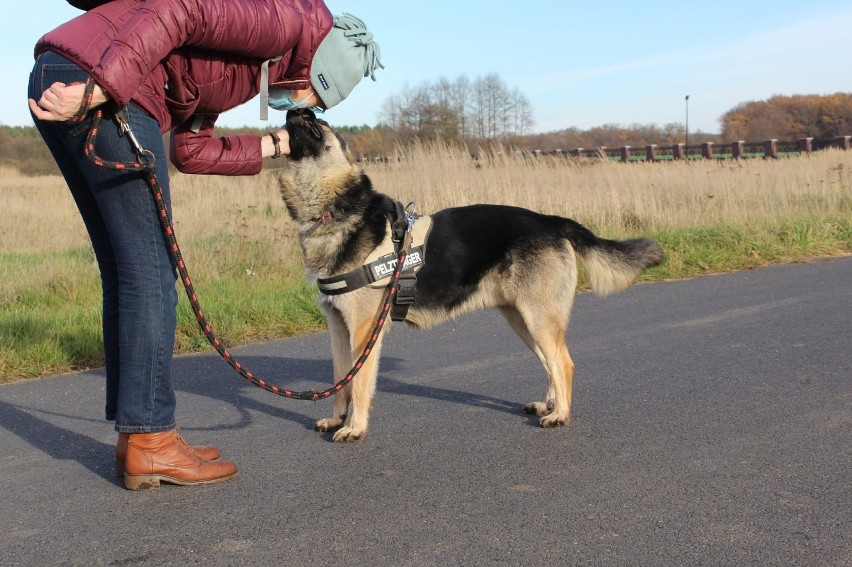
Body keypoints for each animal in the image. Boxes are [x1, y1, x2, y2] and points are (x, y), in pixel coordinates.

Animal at [276, 108, 664, 442]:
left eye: (322, 121)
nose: (297, 109)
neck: (333, 209)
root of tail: (551, 221)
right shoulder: (338, 329)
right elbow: (340, 379)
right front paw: (337, 419)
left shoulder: (362, 331)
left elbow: (357, 385)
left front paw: (354, 428)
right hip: (523, 320)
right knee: (550, 362)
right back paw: (549, 404)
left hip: (537, 317)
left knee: (564, 363)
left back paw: (560, 415)